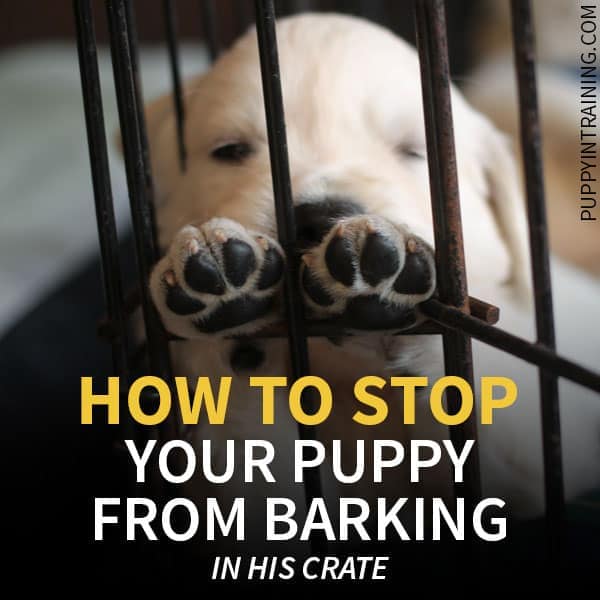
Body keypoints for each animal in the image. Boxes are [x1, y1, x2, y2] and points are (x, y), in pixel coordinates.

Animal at [139, 14, 600, 556]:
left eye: (414, 153)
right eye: (229, 151)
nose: (319, 219)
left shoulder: (534, 454)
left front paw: (384, 275)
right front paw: (229, 302)